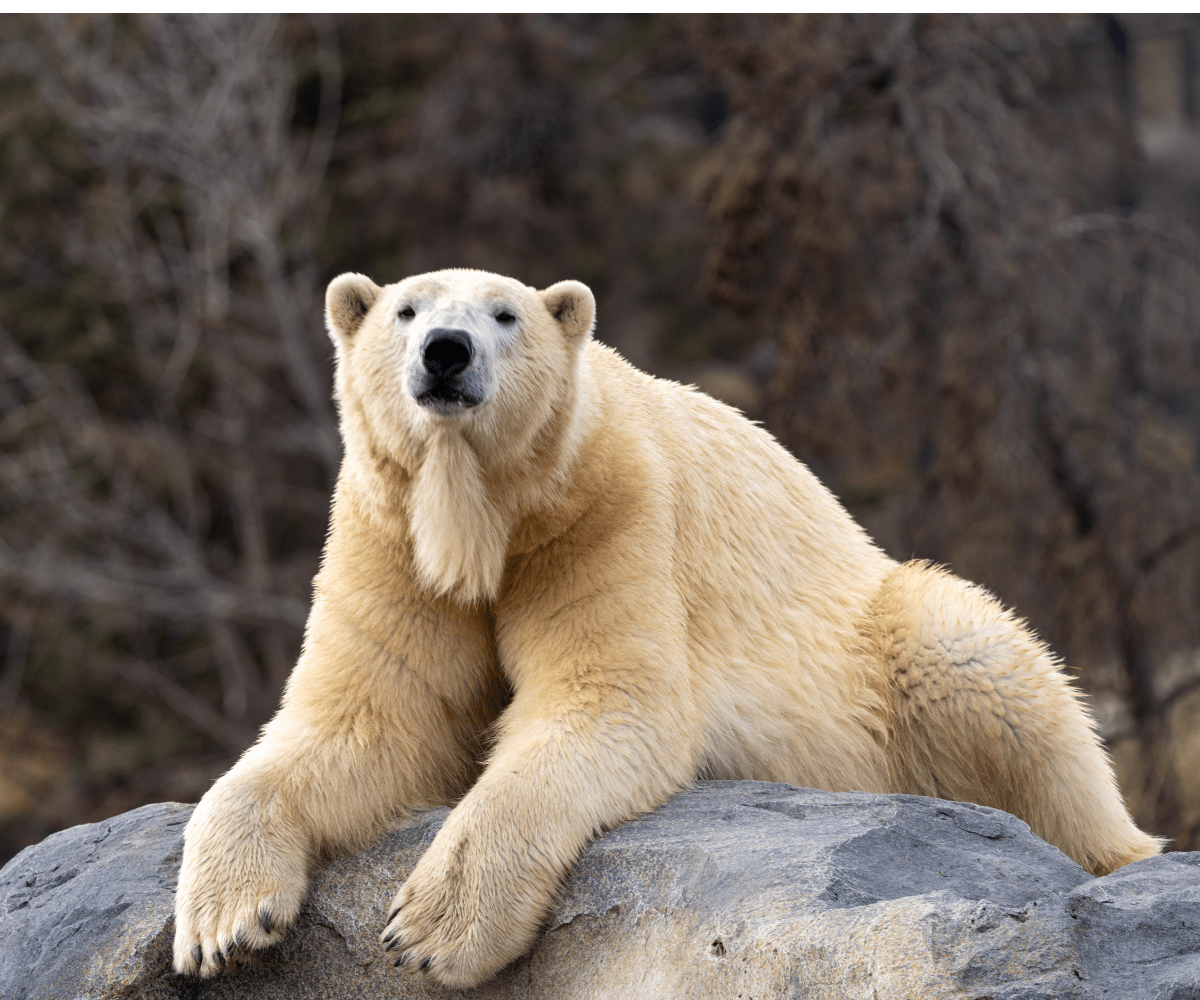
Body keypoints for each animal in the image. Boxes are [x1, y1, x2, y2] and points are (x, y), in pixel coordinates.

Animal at [171, 268, 1161, 989]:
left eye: (504, 314)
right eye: (405, 310)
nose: (445, 353)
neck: (487, 521)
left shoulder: (606, 517)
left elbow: (608, 705)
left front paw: (432, 927)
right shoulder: (392, 542)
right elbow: (366, 724)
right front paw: (224, 923)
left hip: (884, 631)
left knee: (979, 664)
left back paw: (1120, 854)